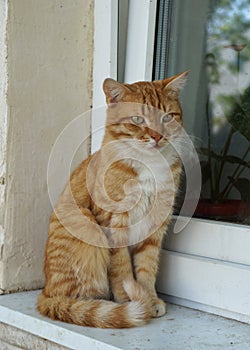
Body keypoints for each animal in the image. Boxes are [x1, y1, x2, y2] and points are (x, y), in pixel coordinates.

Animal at [37, 71, 188, 328]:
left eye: (168, 117)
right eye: (137, 119)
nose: (157, 136)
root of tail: (45, 293)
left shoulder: (155, 229)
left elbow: (147, 267)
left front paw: (150, 299)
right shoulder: (113, 223)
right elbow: (122, 269)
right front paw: (130, 301)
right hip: (87, 225)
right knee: (78, 300)